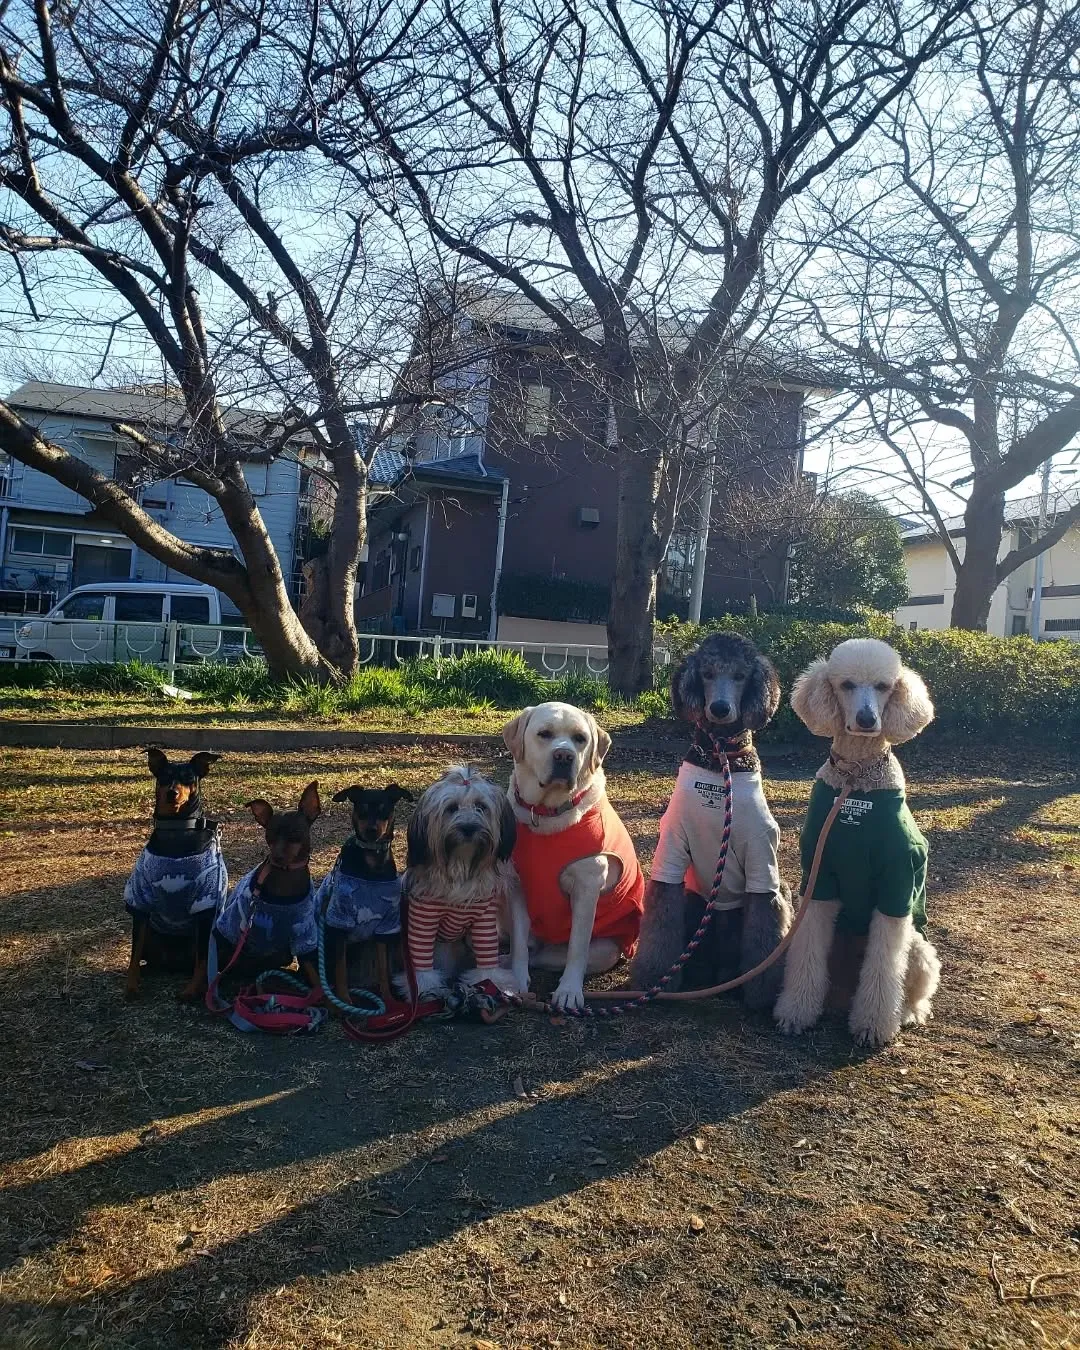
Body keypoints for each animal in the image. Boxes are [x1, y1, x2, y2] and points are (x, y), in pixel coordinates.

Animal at [123, 750, 226, 1004]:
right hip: (153, 935)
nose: (172, 792)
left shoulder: (206, 905)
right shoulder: (139, 901)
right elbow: (134, 952)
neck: (177, 829)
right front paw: (131, 986)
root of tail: (173, 963)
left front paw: (191, 991)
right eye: (165, 776)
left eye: (189, 777)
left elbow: (203, 959)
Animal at [315, 783, 413, 1004]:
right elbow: (340, 971)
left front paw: (389, 1000)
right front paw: (344, 1001)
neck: (372, 865)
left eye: (384, 809)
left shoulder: (385, 927)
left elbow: (384, 969)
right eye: (362, 808)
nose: (371, 831)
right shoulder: (339, 923)